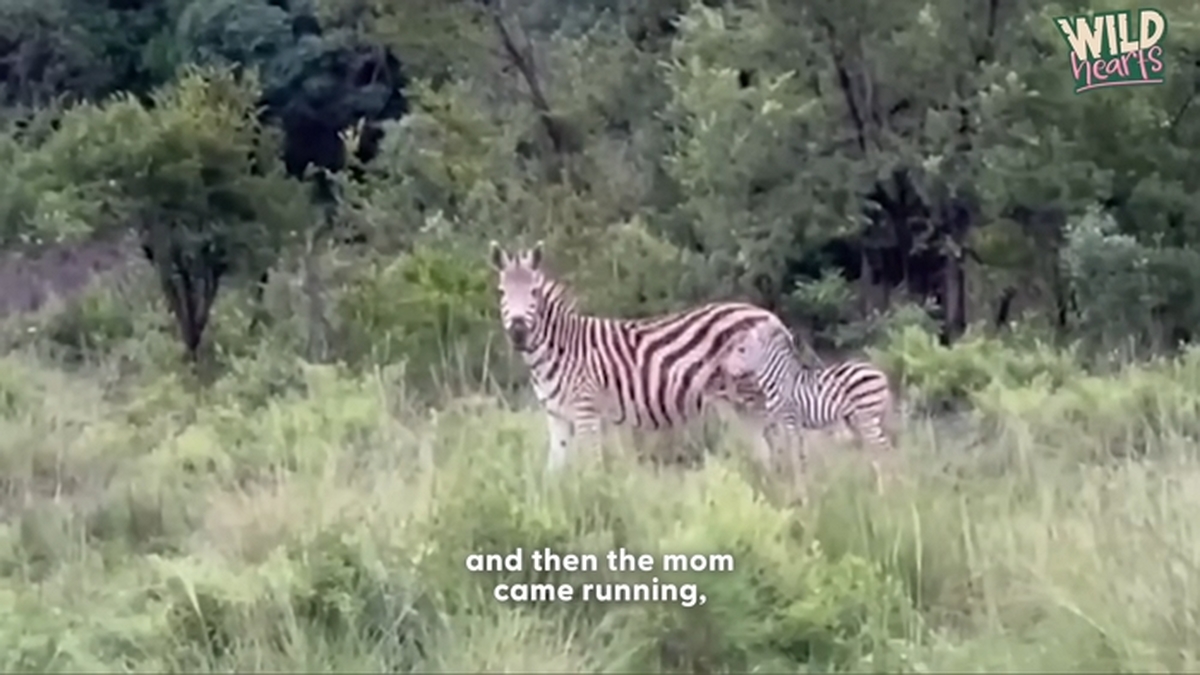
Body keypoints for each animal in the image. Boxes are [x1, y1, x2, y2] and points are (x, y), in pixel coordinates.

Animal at [490, 240, 790, 473]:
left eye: (533, 292)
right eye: (501, 292)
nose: (518, 332)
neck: (557, 350)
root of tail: (768, 316)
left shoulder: (587, 412)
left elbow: (592, 467)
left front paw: (593, 501)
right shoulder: (557, 417)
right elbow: (553, 472)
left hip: (753, 401)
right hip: (739, 407)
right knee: (764, 454)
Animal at [721, 320, 896, 489]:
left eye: (742, 350)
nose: (725, 367)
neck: (780, 381)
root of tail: (879, 373)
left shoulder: (790, 421)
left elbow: (794, 458)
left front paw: (799, 492)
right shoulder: (792, 426)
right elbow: (800, 457)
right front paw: (804, 487)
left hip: (867, 418)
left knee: (885, 449)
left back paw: (888, 489)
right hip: (859, 420)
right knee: (877, 450)